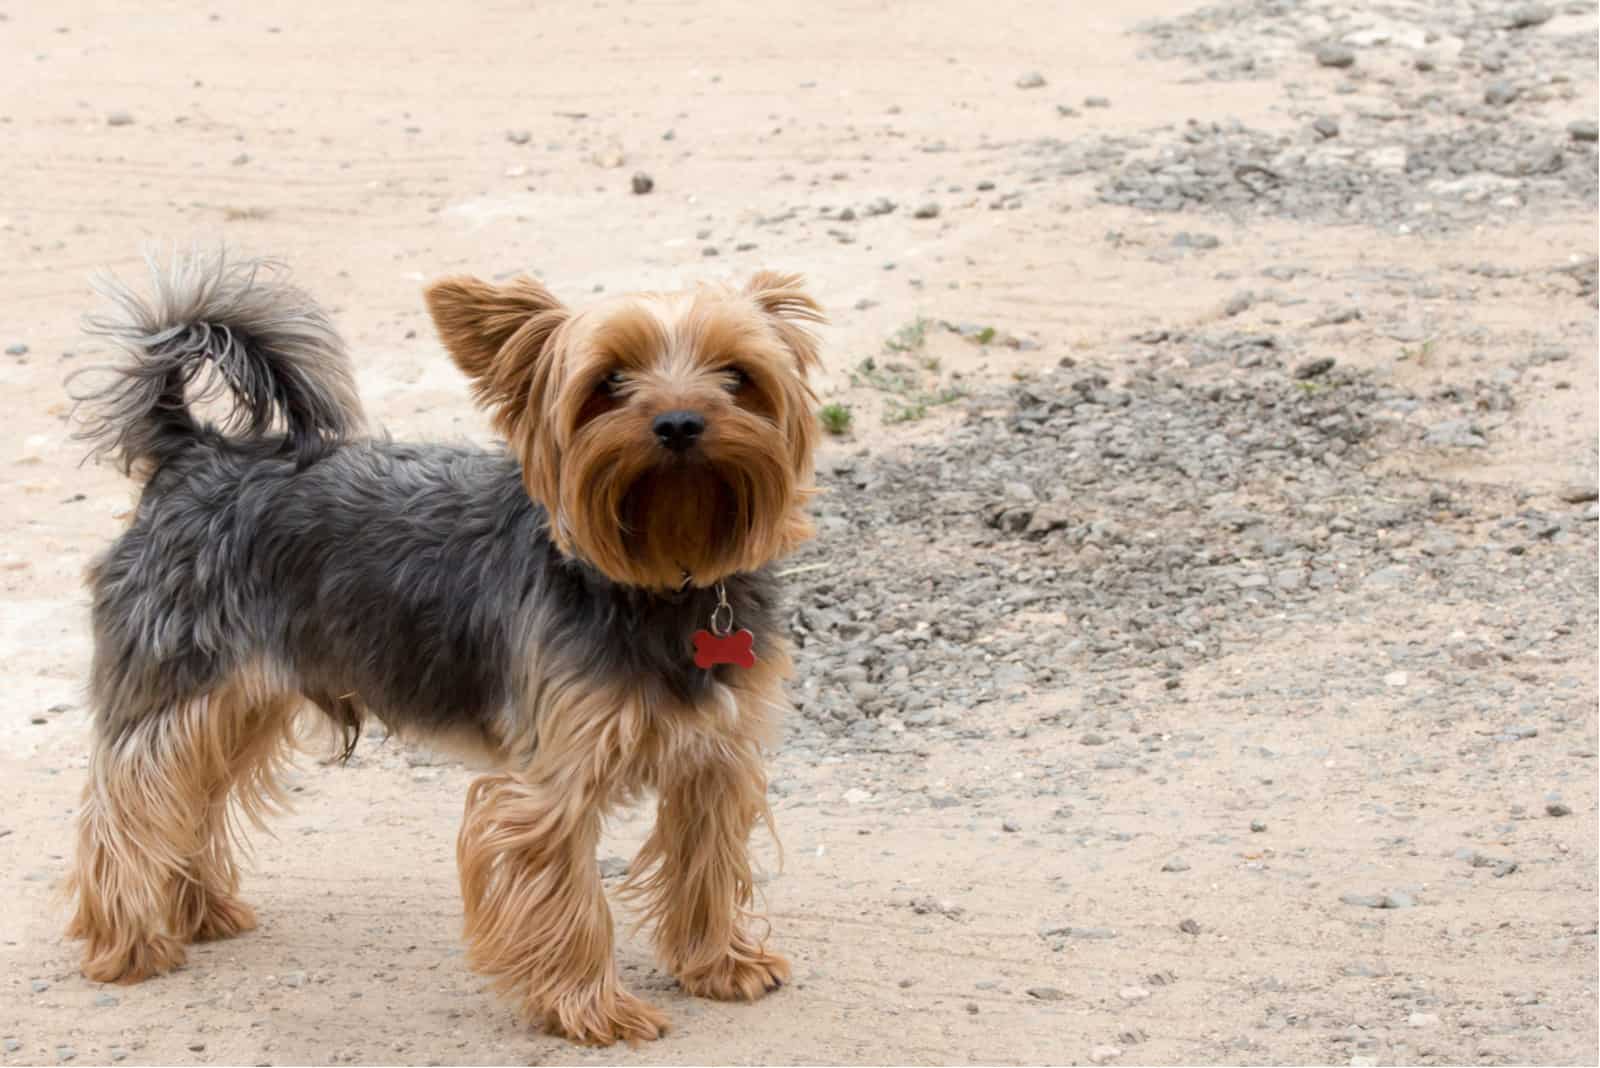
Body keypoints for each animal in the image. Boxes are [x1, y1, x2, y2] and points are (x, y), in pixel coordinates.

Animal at [62, 252, 825, 1042]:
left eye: (737, 375)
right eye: (609, 381)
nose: (678, 422)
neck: (667, 576)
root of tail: (193, 451)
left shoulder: (715, 759)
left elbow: (708, 865)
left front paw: (721, 965)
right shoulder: (551, 778)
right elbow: (570, 897)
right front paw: (592, 1007)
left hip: (241, 703)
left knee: (191, 798)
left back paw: (200, 912)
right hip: (179, 687)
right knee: (127, 806)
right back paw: (128, 944)